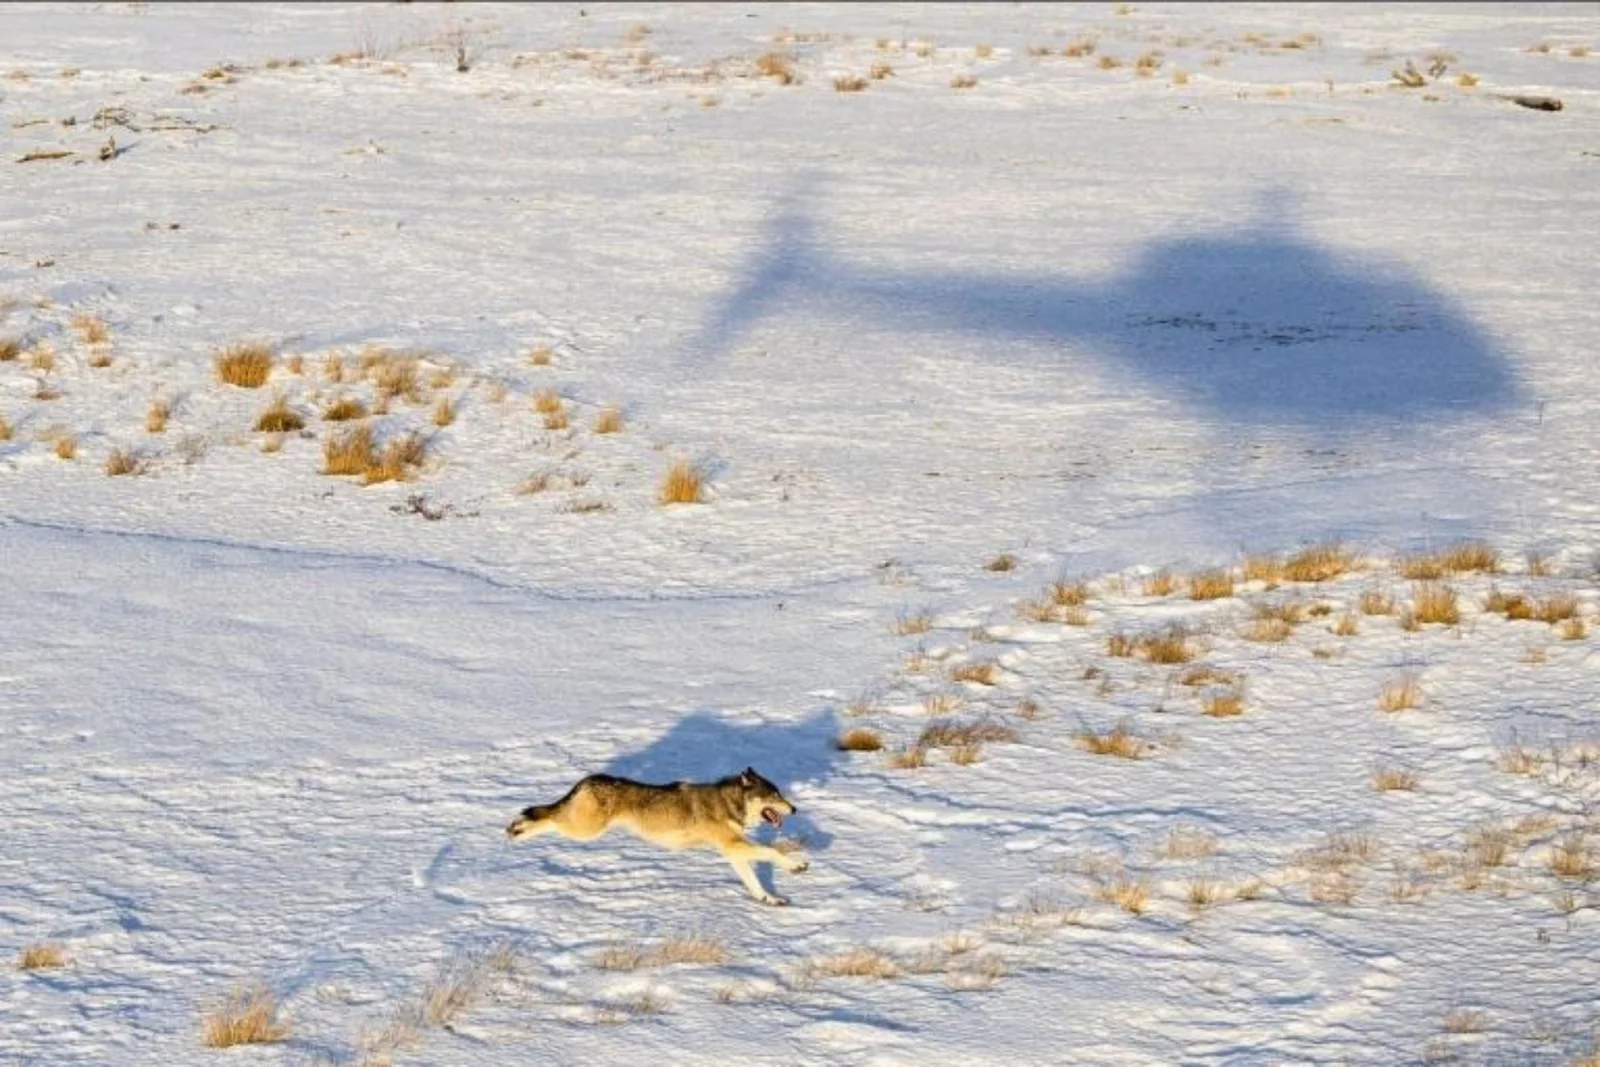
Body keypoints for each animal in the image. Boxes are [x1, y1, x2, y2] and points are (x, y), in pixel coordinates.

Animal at [506, 767, 809, 905]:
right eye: (774, 795)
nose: (794, 809)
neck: (729, 802)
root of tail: (587, 780)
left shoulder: (733, 851)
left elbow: (754, 882)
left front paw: (770, 900)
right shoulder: (733, 845)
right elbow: (772, 852)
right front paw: (798, 865)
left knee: (547, 816)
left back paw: (516, 829)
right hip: (585, 830)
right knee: (548, 817)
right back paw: (517, 830)